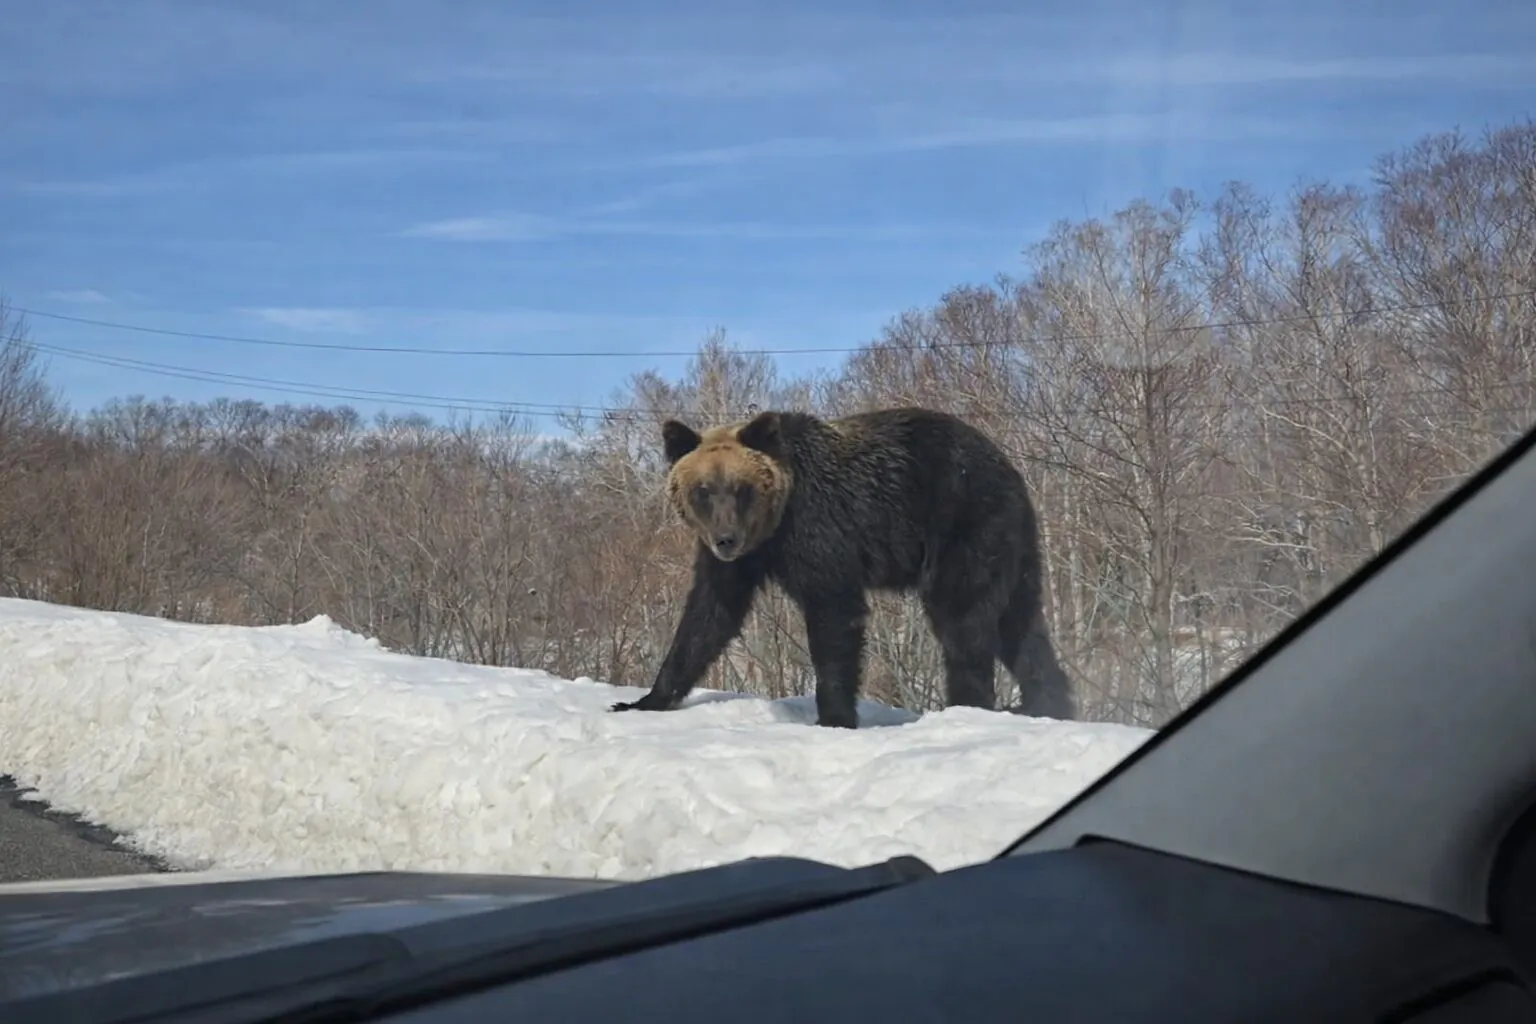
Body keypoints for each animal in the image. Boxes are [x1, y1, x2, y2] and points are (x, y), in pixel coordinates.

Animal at [609, 405, 1077, 728]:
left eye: (741, 488)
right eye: (703, 490)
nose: (726, 539)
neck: (774, 526)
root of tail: (1007, 465)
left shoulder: (820, 533)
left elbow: (834, 617)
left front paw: (833, 717)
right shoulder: (738, 562)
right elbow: (707, 617)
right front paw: (642, 700)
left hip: (966, 525)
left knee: (964, 622)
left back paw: (965, 706)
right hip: (1016, 546)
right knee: (1020, 623)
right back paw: (1045, 703)